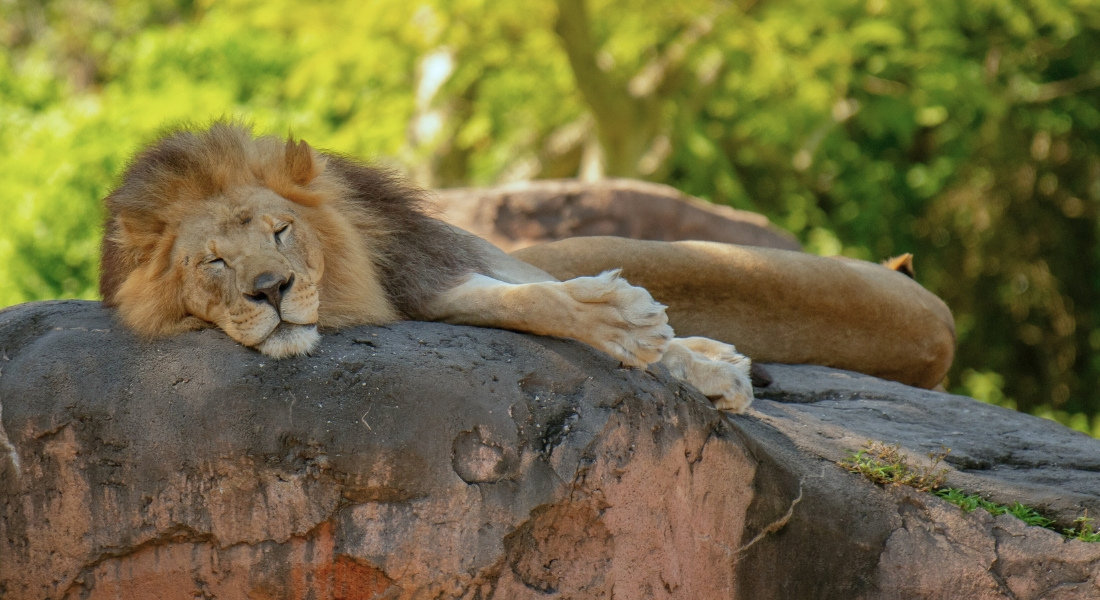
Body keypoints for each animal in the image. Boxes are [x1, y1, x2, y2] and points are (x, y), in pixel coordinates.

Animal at [100, 122, 954, 413]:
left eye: (280, 233)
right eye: (214, 262)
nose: (271, 291)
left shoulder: (431, 256)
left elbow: (542, 293)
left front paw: (668, 341)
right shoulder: (426, 292)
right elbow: (522, 304)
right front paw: (629, 326)